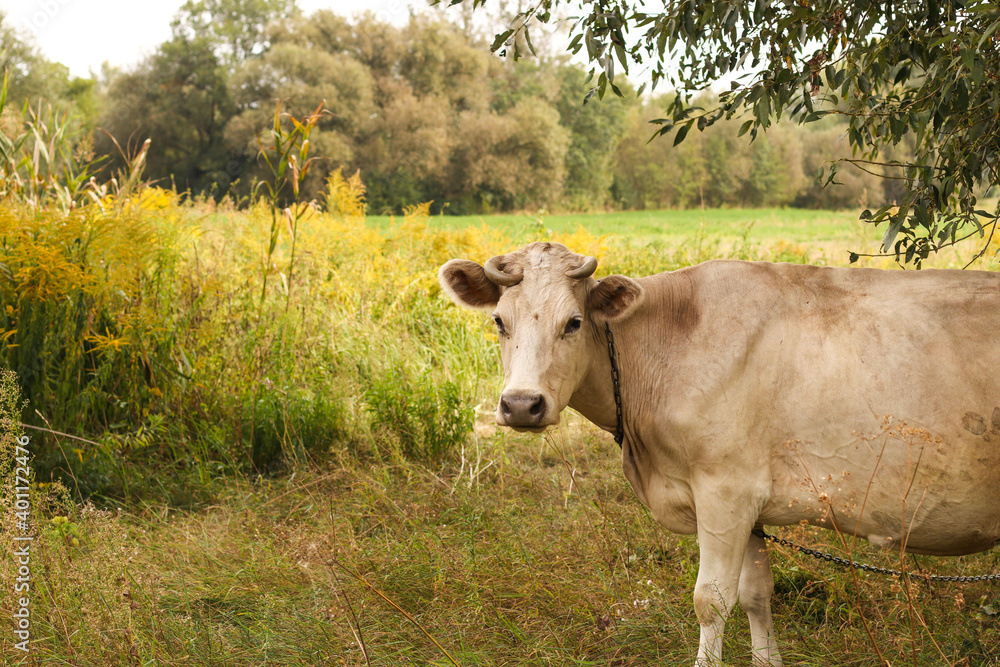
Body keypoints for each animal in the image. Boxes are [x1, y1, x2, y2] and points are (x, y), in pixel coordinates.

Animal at [442, 243, 1000, 667]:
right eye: (499, 321)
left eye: (574, 322)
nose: (521, 404)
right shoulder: (750, 502)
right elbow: (756, 593)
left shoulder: (725, 491)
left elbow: (711, 600)